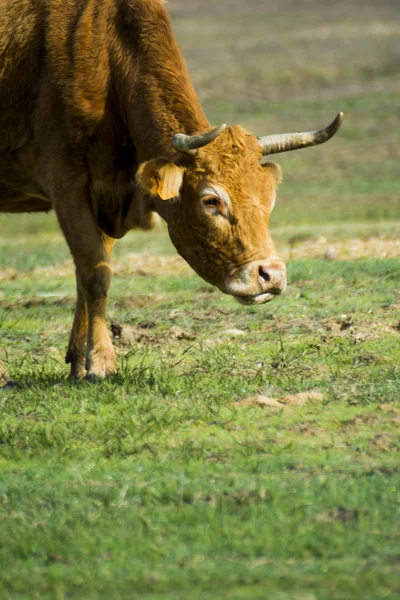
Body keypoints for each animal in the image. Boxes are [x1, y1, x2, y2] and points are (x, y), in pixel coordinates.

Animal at [0, 0, 344, 380]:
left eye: (269, 200)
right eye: (211, 200)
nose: (270, 275)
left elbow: (85, 273)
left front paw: (79, 361)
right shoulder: (66, 185)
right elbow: (95, 274)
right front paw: (101, 363)